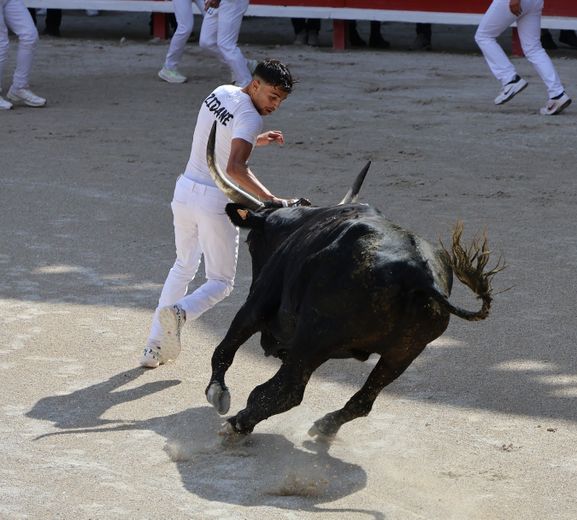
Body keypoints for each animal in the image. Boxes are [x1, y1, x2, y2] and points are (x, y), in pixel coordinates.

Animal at [205, 122, 502, 438]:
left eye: (250, 243)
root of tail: (417, 274)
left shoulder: (258, 301)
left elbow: (225, 348)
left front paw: (218, 392)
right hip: (405, 350)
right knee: (363, 400)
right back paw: (323, 425)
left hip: (313, 338)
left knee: (286, 388)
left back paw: (238, 424)